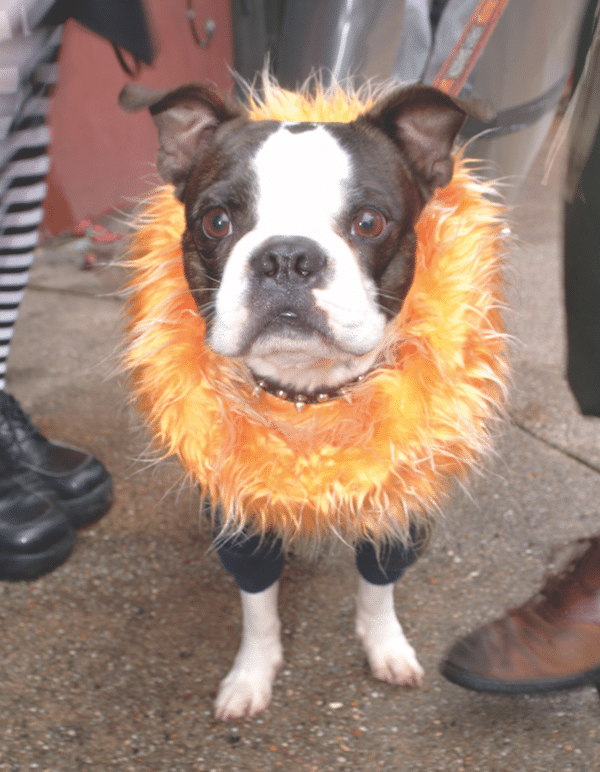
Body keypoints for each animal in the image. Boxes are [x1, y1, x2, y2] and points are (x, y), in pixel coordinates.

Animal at [118, 77, 506, 716]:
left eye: (370, 222)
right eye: (216, 221)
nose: (287, 258)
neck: (307, 394)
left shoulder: (401, 512)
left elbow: (378, 589)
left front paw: (385, 647)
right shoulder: (241, 524)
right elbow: (257, 610)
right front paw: (251, 676)